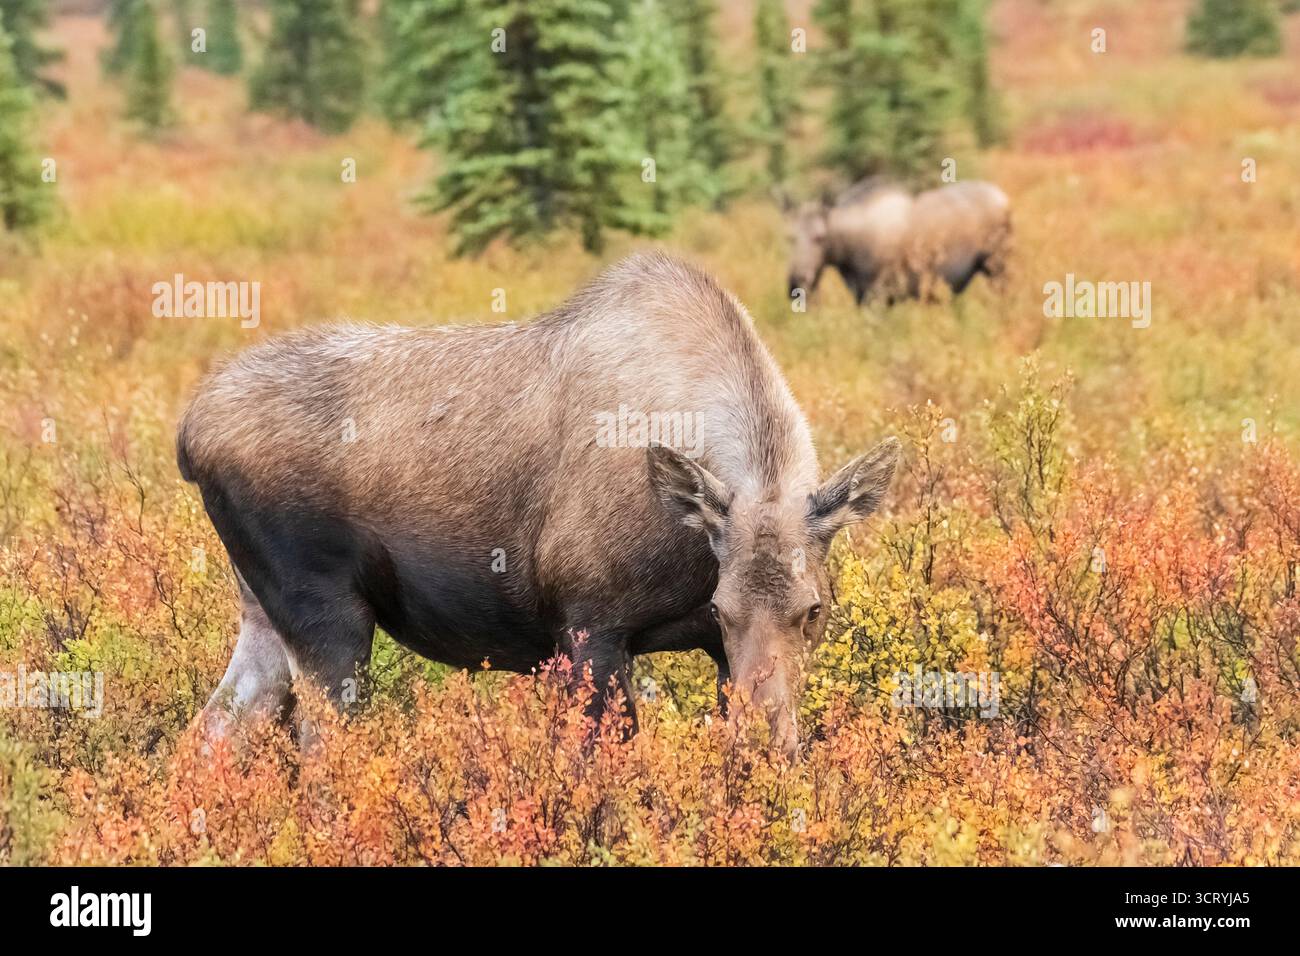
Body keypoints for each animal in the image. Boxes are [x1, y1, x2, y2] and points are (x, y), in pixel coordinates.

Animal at [177, 253, 899, 759]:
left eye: (814, 610)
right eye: (721, 607)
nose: (770, 743)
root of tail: (188, 434)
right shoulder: (590, 627)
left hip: (261, 610)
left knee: (210, 732)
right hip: (327, 615)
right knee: (317, 749)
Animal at [785, 179, 1012, 305]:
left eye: (820, 237)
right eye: (790, 237)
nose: (796, 282)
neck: (847, 254)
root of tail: (1005, 200)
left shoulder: (878, 296)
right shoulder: (863, 297)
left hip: (998, 268)